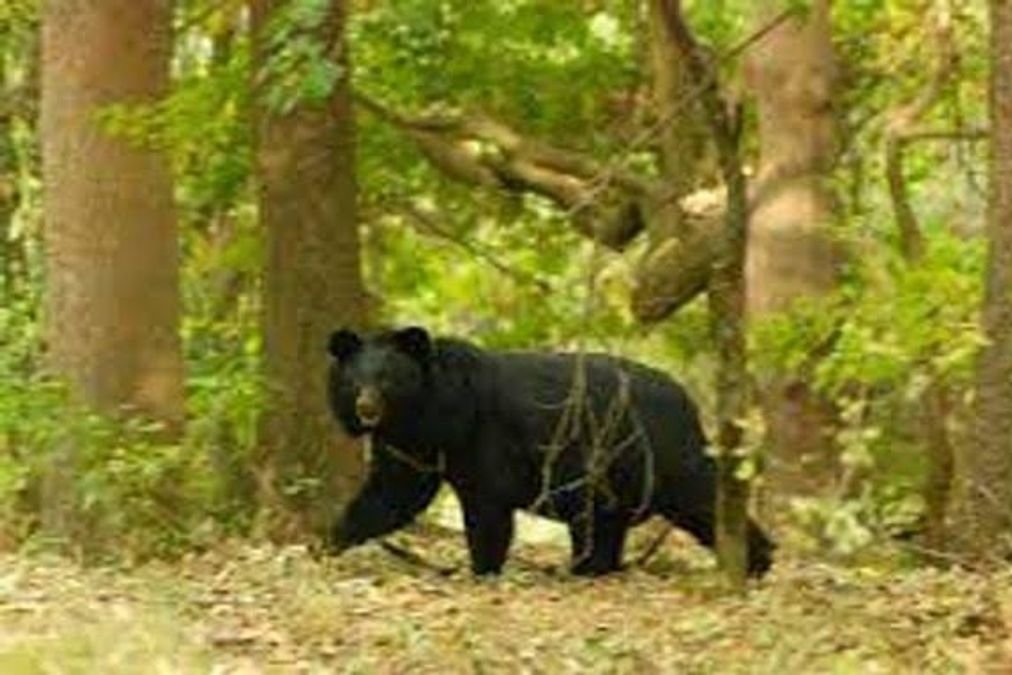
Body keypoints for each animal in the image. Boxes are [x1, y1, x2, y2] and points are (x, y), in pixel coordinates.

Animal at [326, 326, 773, 578]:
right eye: (354, 381)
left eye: (388, 379)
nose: (366, 409)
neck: (432, 411)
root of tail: (686, 399)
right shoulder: (414, 446)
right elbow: (393, 494)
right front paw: (330, 542)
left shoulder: (484, 437)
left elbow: (488, 507)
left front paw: (482, 569)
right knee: (603, 525)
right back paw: (589, 569)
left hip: (658, 455)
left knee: (702, 498)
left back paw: (758, 560)